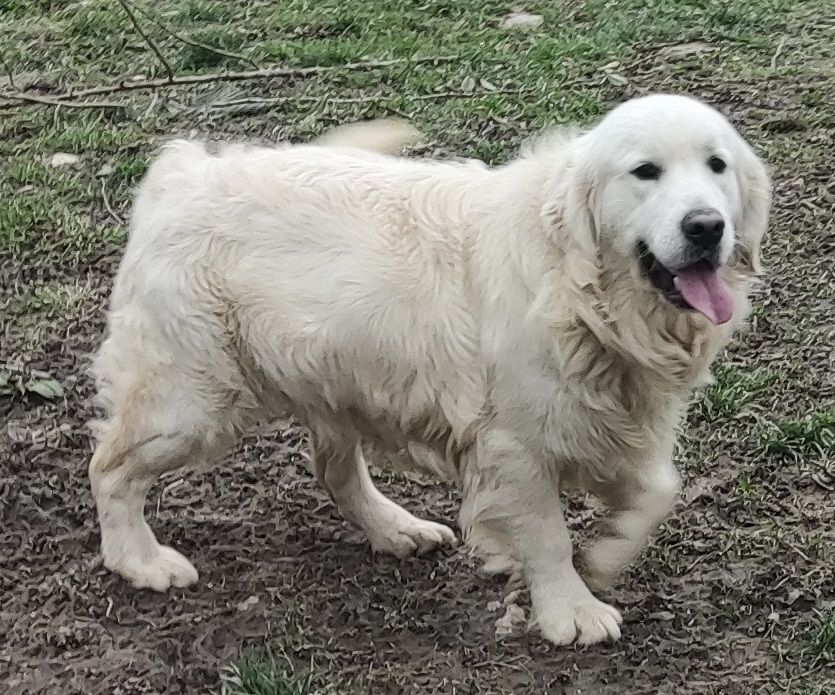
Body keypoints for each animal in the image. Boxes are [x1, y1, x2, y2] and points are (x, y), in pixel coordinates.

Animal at [88, 94, 770, 646]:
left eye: (717, 165)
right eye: (645, 171)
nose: (706, 226)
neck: (586, 292)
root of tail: (183, 172)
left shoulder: (619, 414)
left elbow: (660, 490)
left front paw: (607, 554)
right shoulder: (515, 444)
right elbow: (548, 535)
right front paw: (570, 610)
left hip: (337, 381)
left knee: (335, 471)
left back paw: (396, 529)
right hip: (192, 400)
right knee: (110, 467)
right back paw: (140, 561)